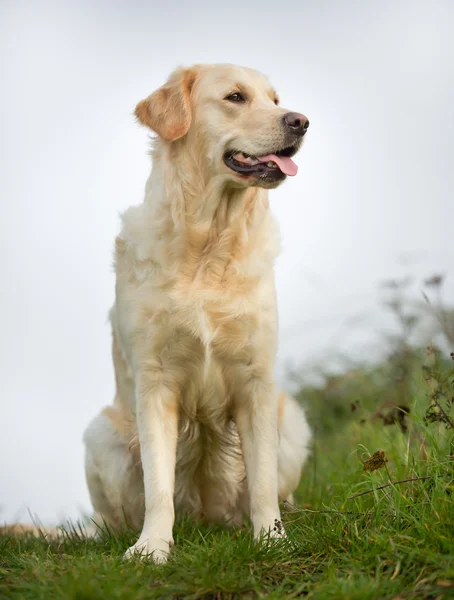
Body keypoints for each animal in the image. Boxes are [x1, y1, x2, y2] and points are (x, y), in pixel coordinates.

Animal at [82, 64, 312, 564]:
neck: (209, 243)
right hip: (100, 434)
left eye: (275, 99)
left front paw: (272, 540)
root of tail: (209, 520)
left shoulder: (256, 380)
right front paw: (151, 547)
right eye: (235, 97)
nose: (301, 121)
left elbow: (262, 481)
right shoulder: (155, 381)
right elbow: (158, 487)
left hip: (291, 417)